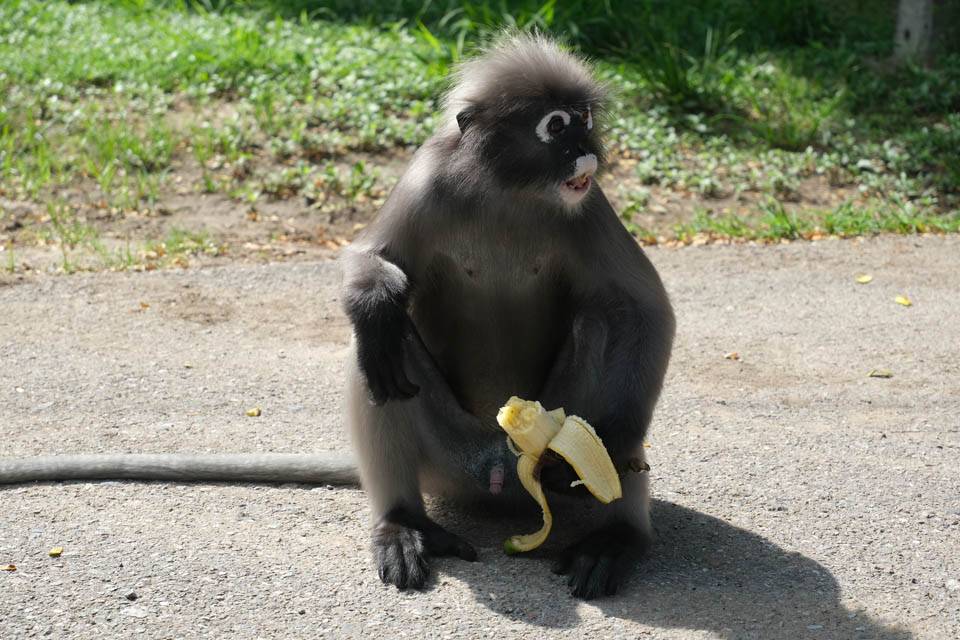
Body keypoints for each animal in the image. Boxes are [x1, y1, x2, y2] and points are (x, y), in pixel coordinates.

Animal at [0, 33, 674, 601]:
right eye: (555, 126)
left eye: (584, 121)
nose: (585, 150)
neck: (506, 194)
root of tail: (500, 469)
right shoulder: (428, 180)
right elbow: (367, 263)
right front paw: (374, 301)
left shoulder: (587, 205)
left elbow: (646, 309)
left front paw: (616, 442)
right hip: (447, 457)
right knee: (376, 352)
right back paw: (403, 522)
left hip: (543, 450)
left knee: (605, 323)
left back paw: (615, 536)